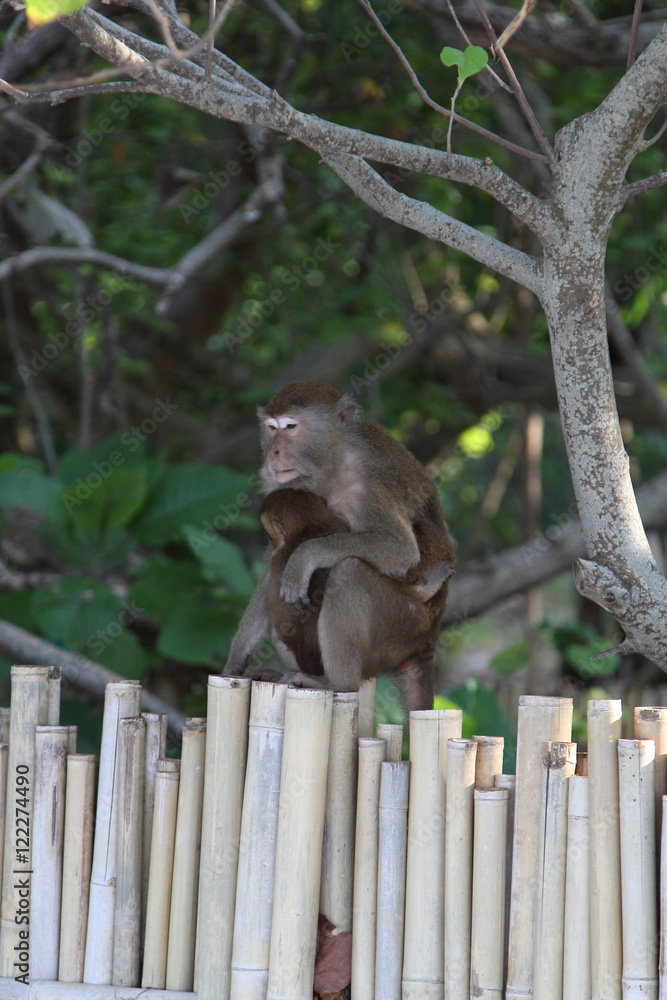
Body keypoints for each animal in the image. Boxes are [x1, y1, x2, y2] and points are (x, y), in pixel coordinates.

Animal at [223, 380, 456, 714]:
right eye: (271, 428)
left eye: (291, 427)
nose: (275, 452)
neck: (330, 463)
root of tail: (429, 639)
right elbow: (271, 567)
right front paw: (235, 660)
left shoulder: (369, 479)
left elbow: (400, 549)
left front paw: (305, 557)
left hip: (404, 628)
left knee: (350, 572)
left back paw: (337, 682)